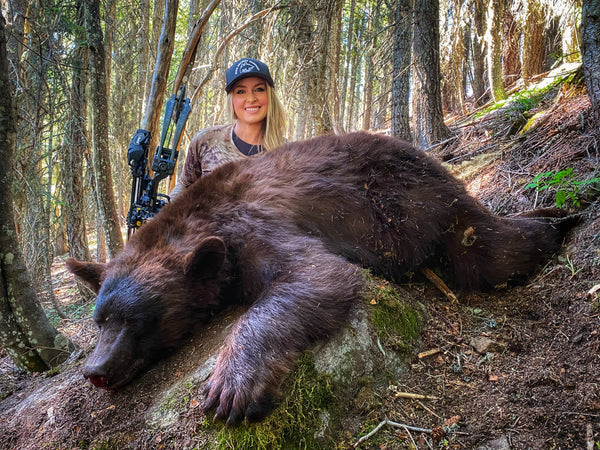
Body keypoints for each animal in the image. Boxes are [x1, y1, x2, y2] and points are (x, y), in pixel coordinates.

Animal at [68, 131, 576, 426]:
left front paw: (232, 383)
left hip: (414, 206)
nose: (96, 370)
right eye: (100, 321)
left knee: (490, 251)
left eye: (137, 320)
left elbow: (318, 274)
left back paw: (559, 219)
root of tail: (439, 167)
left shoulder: (254, 226)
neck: (200, 222)